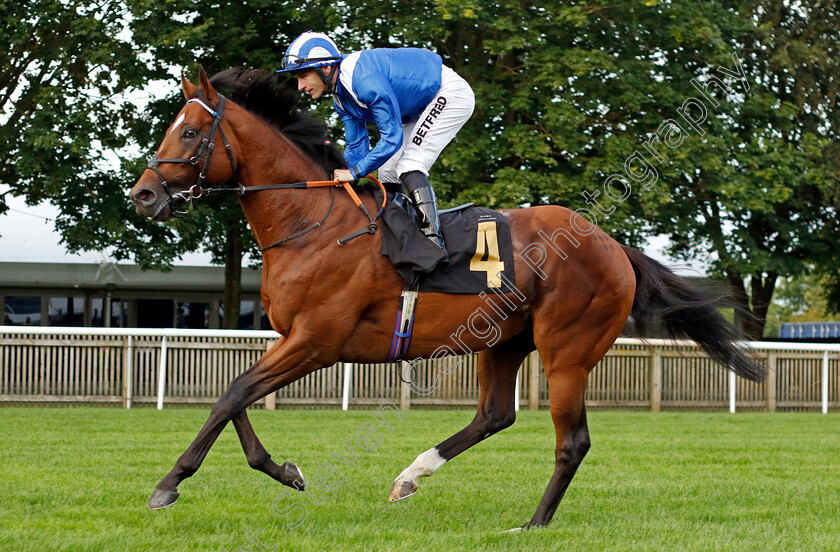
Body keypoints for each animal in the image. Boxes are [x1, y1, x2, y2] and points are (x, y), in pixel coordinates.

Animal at [128, 69, 764, 532]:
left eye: (189, 133)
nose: (144, 195)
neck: (312, 223)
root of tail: (611, 245)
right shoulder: (291, 337)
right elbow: (235, 396)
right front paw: (285, 471)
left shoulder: (318, 341)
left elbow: (231, 394)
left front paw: (168, 484)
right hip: (505, 340)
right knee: (495, 415)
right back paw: (412, 475)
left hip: (567, 350)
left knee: (572, 441)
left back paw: (532, 525)